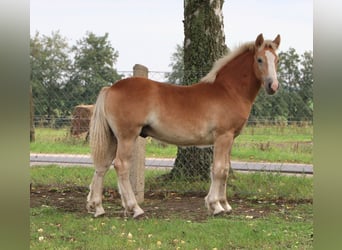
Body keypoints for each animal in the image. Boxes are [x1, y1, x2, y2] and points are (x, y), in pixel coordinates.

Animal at [87, 34, 280, 218]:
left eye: (277, 60)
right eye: (260, 59)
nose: (273, 86)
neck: (228, 91)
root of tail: (111, 88)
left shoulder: (230, 138)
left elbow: (224, 169)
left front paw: (224, 205)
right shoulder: (223, 136)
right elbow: (218, 169)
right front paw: (216, 206)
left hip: (114, 138)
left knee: (102, 165)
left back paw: (98, 208)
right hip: (127, 137)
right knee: (121, 165)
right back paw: (135, 209)